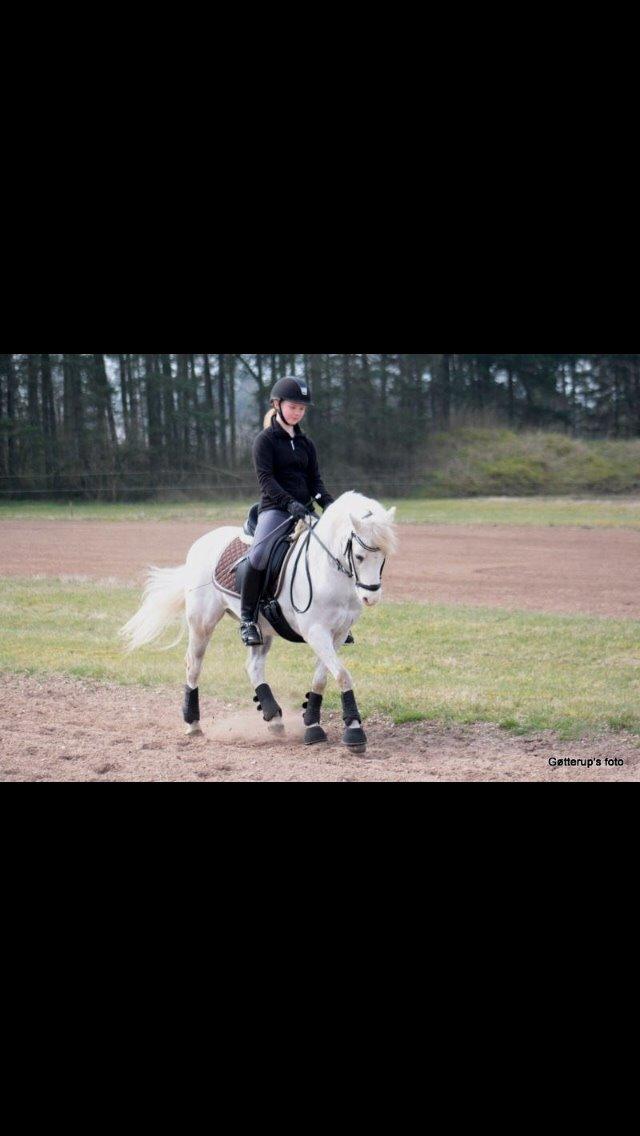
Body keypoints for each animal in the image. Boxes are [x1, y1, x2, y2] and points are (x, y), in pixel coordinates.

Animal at [119, 491, 398, 755]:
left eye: (383, 556)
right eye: (359, 556)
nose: (370, 597)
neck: (326, 570)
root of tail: (202, 542)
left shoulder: (337, 634)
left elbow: (323, 678)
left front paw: (313, 724)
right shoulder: (316, 632)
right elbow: (342, 675)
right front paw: (354, 732)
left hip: (263, 629)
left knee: (252, 667)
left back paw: (273, 718)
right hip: (202, 623)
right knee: (193, 666)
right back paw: (193, 723)